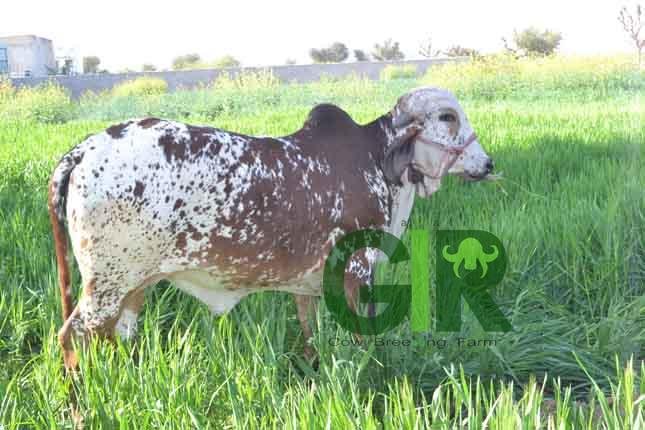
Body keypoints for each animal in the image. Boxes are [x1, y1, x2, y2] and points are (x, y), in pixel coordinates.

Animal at [49, 87, 494, 369]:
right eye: (447, 117)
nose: (487, 163)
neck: (376, 160)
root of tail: (83, 150)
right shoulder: (358, 271)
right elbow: (364, 340)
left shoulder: (311, 284)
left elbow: (310, 334)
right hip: (108, 284)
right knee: (72, 337)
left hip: (132, 285)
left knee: (110, 335)